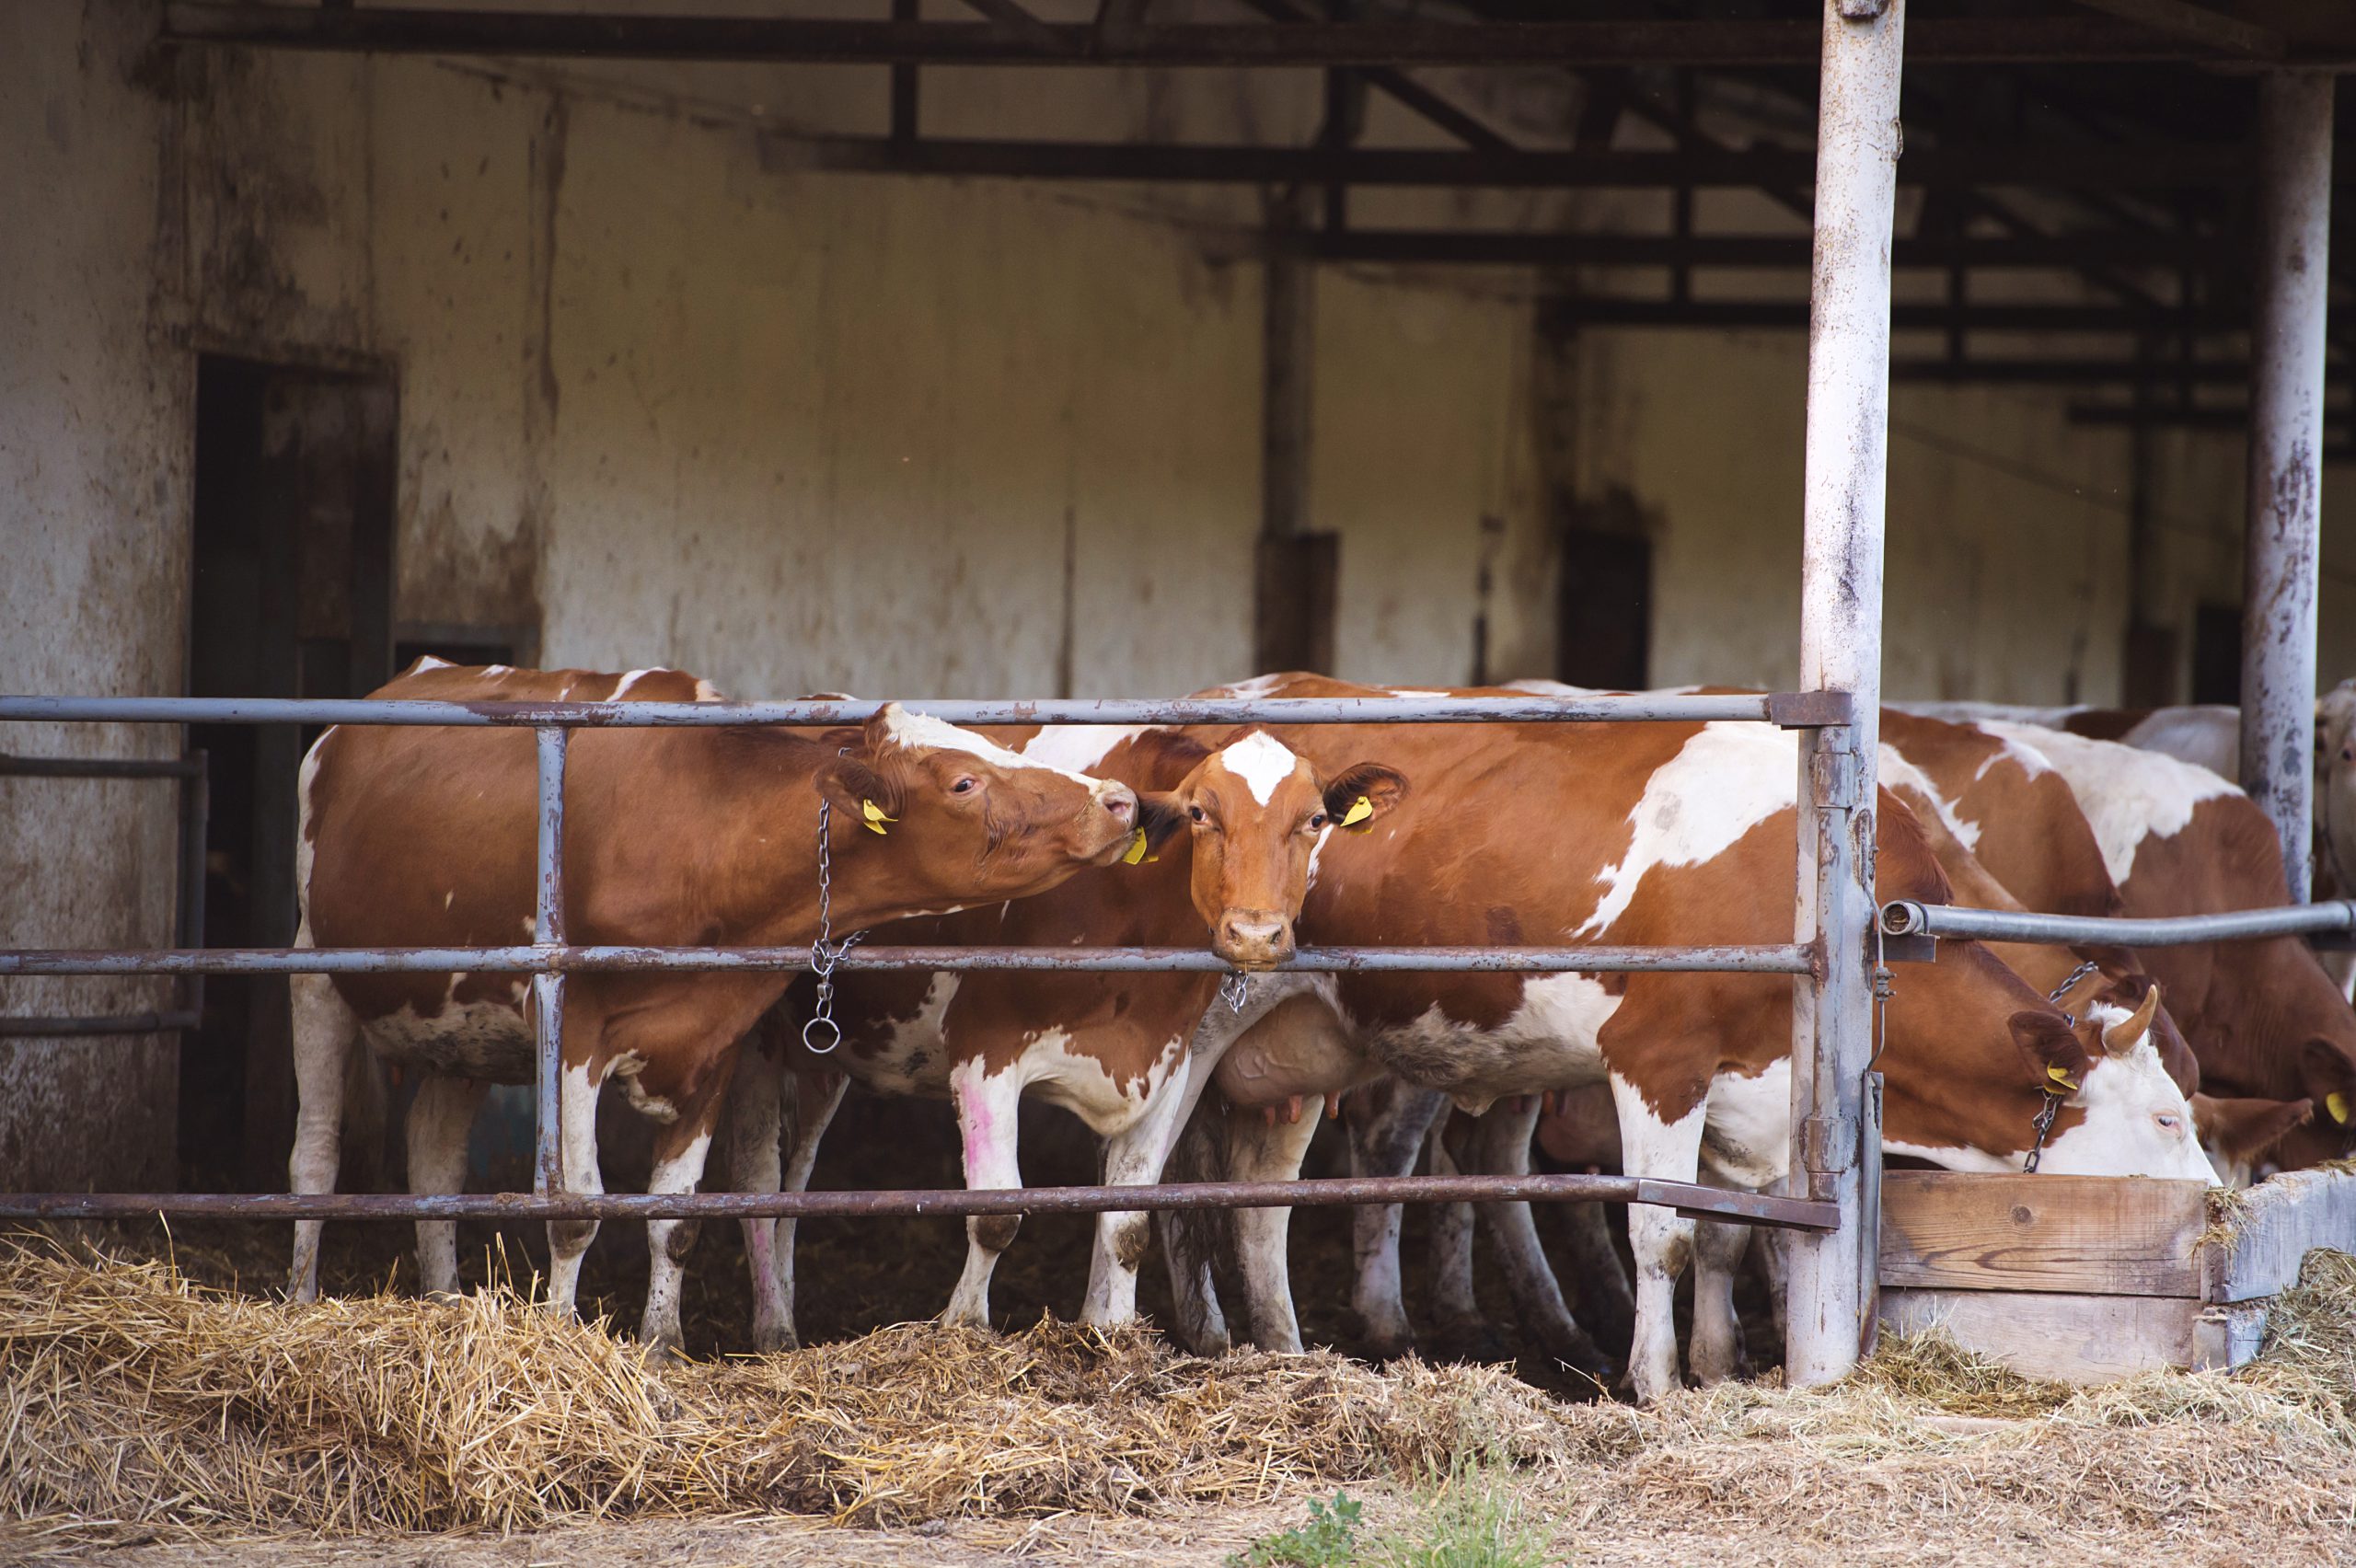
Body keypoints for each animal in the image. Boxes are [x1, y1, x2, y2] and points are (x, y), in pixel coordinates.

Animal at [284, 654, 1149, 1346]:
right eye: (965, 782)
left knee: (432, 1153)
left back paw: (443, 1300)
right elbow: (576, 1212)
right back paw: (299, 1299)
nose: (1117, 799)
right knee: (315, 1157)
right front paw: (561, 1334)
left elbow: (673, 1218)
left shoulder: (718, 1041)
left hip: (457, 1033)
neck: (700, 839)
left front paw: (661, 1342)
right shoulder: (571, 1032)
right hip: (313, 973)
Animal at [734, 720, 1394, 1346]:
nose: (1255, 935)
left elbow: (1128, 1222)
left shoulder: (1168, 1065)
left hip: (822, 1058)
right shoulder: (986, 1051)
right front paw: (962, 1328)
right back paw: (773, 1328)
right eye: (1201, 815)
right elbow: (996, 1214)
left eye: (1314, 820)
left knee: (796, 1180)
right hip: (756, 1040)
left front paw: (1117, 1335)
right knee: (757, 1176)